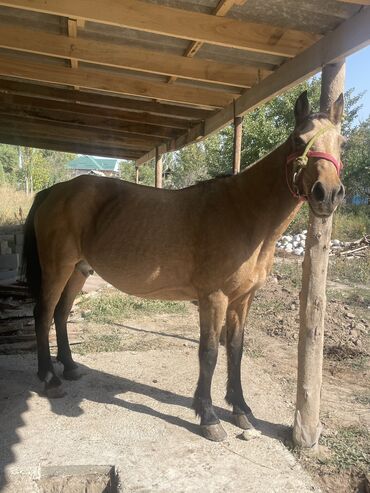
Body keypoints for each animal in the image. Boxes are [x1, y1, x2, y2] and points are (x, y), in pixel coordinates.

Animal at [22, 91, 344, 438]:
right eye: (299, 140)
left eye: (342, 141)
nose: (328, 194)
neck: (245, 215)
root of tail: (54, 191)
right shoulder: (214, 298)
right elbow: (210, 353)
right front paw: (208, 416)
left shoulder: (243, 299)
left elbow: (236, 350)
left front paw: (241, 409)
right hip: (57, 268)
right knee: (43, 314)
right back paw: (49, 378)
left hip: (78, 271)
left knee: (61, 313)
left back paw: (69, 367)